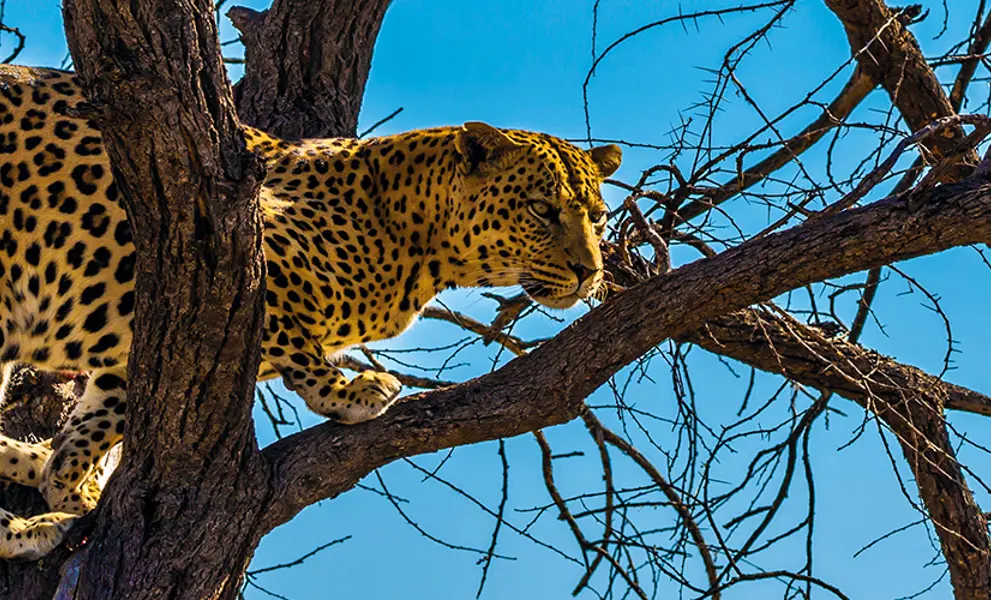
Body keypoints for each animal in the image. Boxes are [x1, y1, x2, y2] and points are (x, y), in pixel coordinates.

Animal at [0, 65, 621, 560]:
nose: (590, 271)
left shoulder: (138, 333)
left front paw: (67, 478)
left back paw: (33, 465)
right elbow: (291, 338)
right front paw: (346, 392)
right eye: (540, 209)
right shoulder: (237, 242)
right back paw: (25, 530)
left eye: (597, 216)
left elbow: (106, 410)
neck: (417, 239)